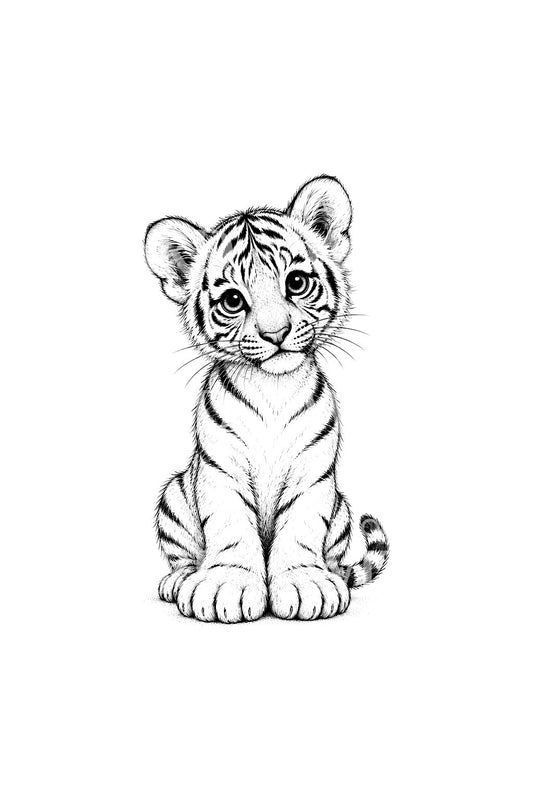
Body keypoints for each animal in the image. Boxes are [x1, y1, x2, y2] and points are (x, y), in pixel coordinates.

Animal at [144, 175, 389, 623]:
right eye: (233, 300)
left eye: (296, 283)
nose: (275, 334)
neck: (272, 388)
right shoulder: (220, 468)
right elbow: (230, 527)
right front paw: (226, 585)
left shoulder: (313, 471)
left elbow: (301, 527)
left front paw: (307, 583)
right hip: (173, 495)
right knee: (182, 556)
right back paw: (180, 579)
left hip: (342, 509)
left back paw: (335, 575)